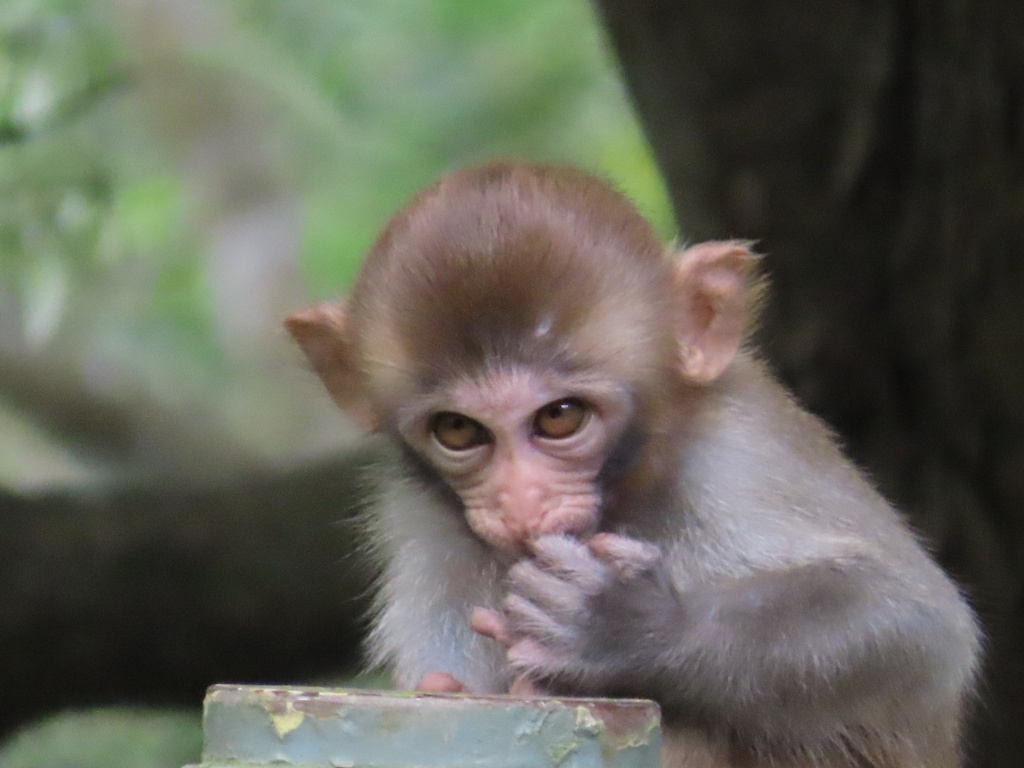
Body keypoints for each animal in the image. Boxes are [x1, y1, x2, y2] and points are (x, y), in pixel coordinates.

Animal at [286, 162, 974, 768]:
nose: (520, 503)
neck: (631, 489)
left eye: (560, 417)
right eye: (458, 431)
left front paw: (627, 627)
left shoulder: (738, 452)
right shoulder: (428, 530)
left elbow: (916, 623)